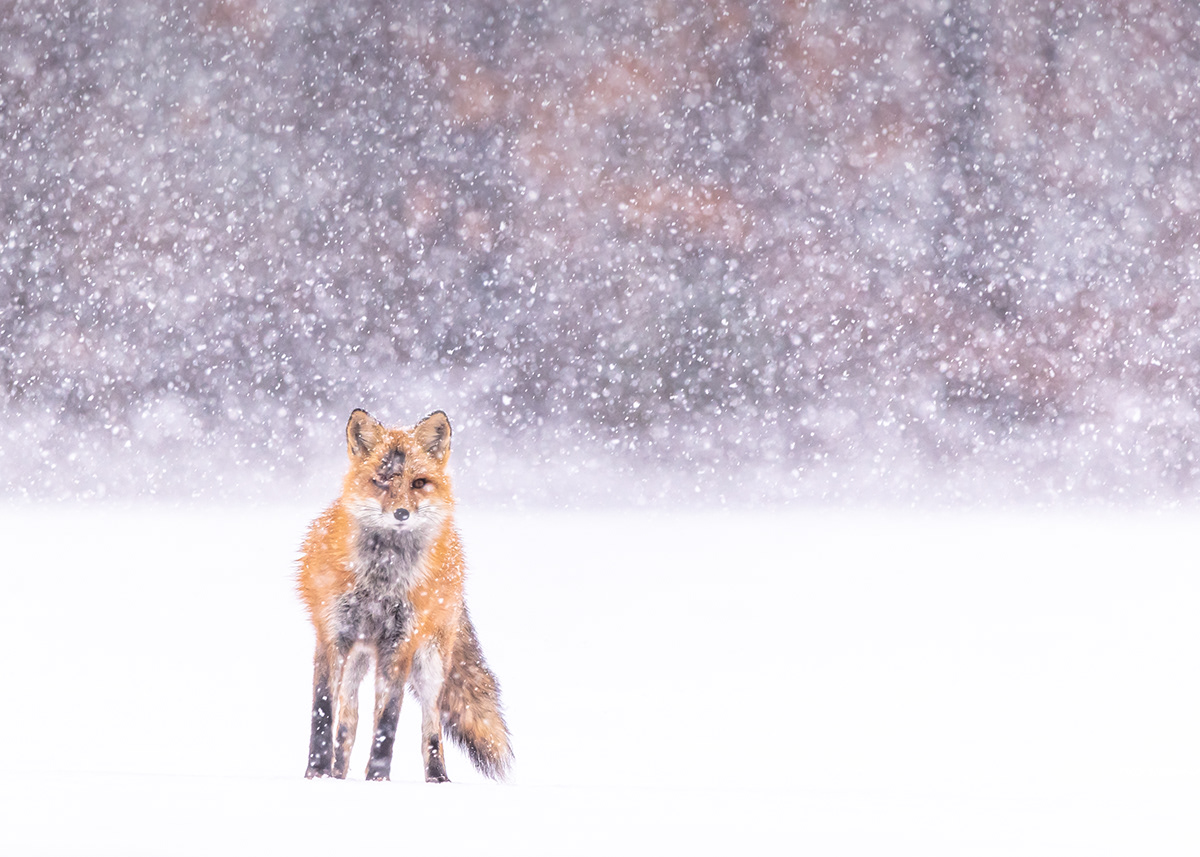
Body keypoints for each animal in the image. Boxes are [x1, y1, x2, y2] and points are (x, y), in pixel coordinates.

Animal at [297, 409, 512, 783]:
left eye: (418, 483)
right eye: (381, 481)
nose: (401, 514)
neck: (381, 579)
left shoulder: (401, 644)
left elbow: (388, 720)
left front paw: (378, 779)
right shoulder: (331, 637)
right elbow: (323, 713)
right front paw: (317, 774)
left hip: (431, 664)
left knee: (432, 725)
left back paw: (438, 778)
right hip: (356, 659)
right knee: (349, 719)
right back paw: (338, 773)